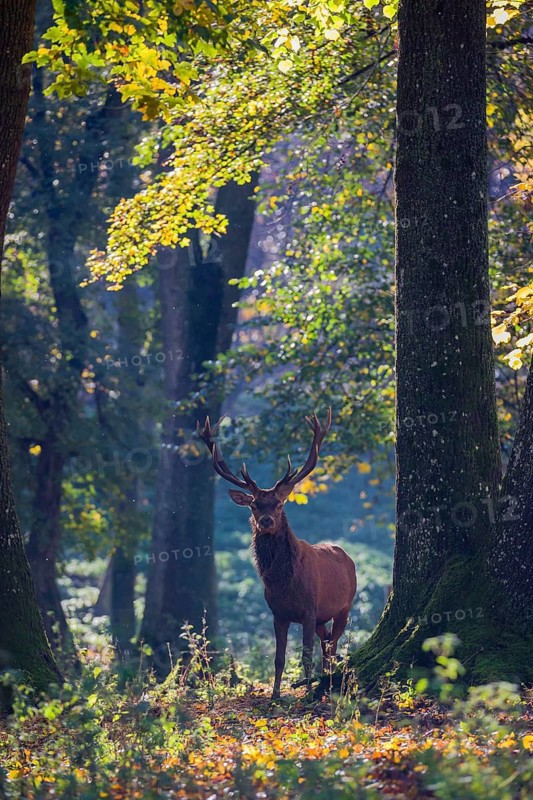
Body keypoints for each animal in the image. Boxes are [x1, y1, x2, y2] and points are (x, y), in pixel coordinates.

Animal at [197, 408, 357, 700]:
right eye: (253, 505)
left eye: (280, 504)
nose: (266, 521)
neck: (285, 583)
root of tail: (346, 556)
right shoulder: (278, 613)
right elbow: (279, 658)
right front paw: (274, 695)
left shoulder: (308, 609)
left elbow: (305, 656)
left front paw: (306, 691)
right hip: (322, 617)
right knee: (327, 643)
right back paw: (326, 680)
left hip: (344, 606)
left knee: (332, 644)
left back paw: (325, 683)